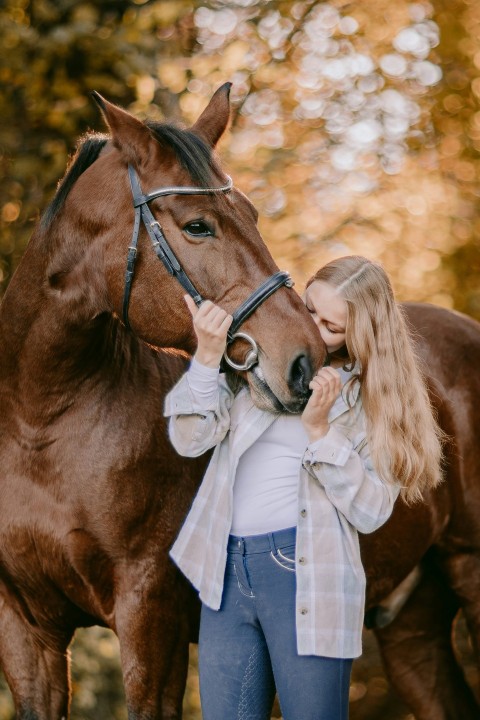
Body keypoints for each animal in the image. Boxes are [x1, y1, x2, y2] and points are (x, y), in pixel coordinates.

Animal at [0, 83, 479, 720]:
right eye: (198, 226)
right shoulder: (25, 628)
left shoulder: (151, 616)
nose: (306, 360)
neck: (43, 420)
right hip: (411, 624)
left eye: (251, 213)